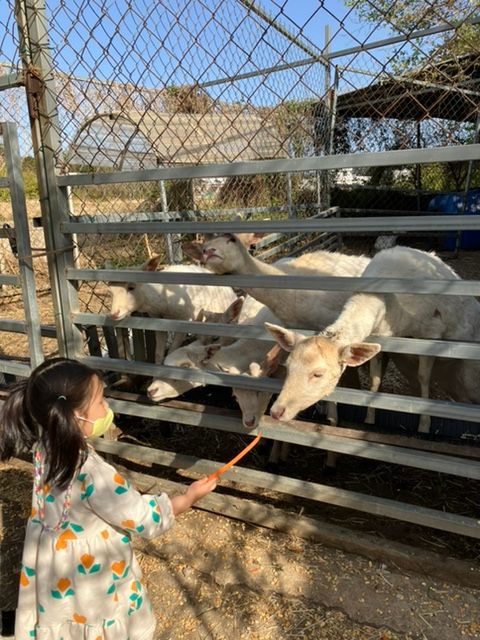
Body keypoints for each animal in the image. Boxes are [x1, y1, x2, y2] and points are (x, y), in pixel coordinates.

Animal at [107, 256, 238, 364]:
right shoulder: (157, 321)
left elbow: (171, 351)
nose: (114, 314)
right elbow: (158, 354)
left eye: (131, 287)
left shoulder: (185, 320)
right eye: (110, 290)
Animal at [266, 245, 480, 436]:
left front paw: (424, 426)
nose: (276, 411)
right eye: (288, 366)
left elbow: (424, 378)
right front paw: (369, 420)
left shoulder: (431, 333)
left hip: (467, 373)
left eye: (318, 374)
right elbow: (375, 381)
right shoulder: (381, 340)